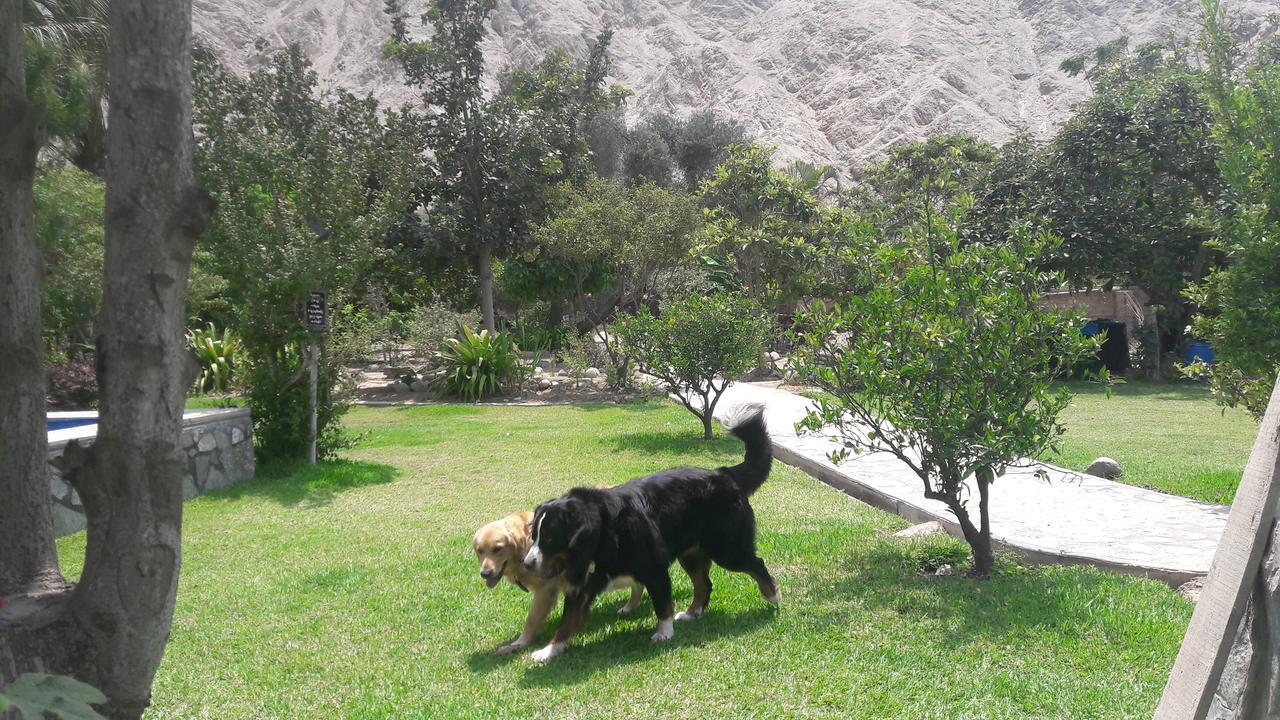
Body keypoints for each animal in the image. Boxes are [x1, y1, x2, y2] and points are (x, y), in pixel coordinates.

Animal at [473, 507, 645, 653]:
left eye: (497, 549)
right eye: (480, 551)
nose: (485, 573)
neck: (526, 548)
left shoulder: (545, 590)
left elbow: (532, 618)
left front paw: (520, 643)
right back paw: (629, 607)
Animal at [522, 399, 778, 661]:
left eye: (550, 538)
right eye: (534, 537)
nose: (527, 563)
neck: (603, 536)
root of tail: (722, 473)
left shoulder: (654, 570)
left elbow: (662, 604)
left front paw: (664, 633)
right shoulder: (581, 588)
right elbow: (567, 622)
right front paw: (550, 650)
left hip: (726, 548)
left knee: (756, 564)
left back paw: (772, 595)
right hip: (692, 554)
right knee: (704, 584)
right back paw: (692, 612)